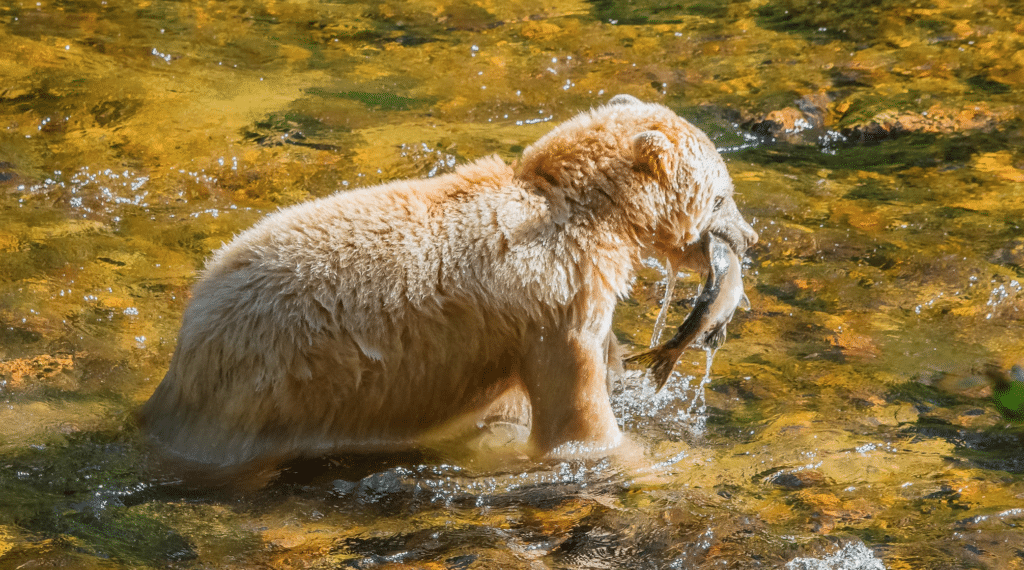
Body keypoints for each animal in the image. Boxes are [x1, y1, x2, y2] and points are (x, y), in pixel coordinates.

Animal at [140, 95, 757, 476]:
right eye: (722, 196)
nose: (749, 238)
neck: (570, 208)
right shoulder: (552, 304)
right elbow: (575, 418)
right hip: (271, 387)